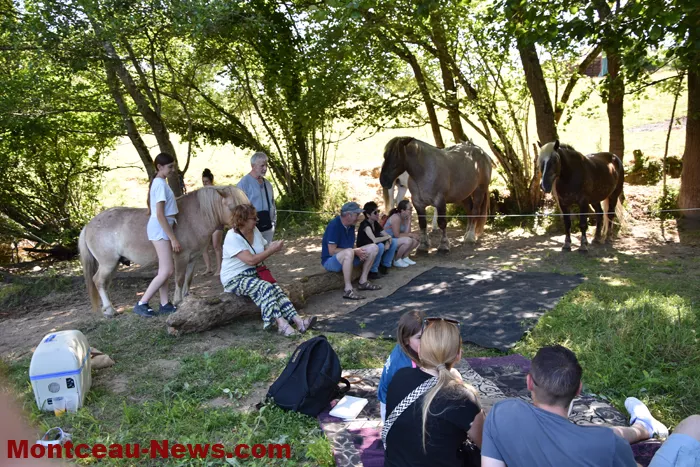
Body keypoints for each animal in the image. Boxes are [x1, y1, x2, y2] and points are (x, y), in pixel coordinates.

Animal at [79, 185, 249, 317]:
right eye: (233, 207)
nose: (249, 226)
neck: (194, 217)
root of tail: (89, 225)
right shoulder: (181, 257)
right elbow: (179, 279)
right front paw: (178, 301)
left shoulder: (193, 258)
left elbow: (188, 279)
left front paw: (187, 300)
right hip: (108, 263)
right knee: (98, 281)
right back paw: (110, 310)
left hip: (114, 264)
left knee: (104, 283)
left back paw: (108, 309)